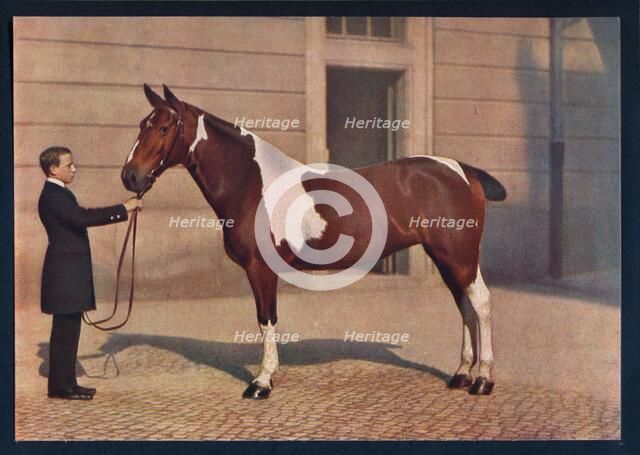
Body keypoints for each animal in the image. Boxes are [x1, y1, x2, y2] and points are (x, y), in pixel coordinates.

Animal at [121, 84, 507, 399]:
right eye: (141, 125)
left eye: (164, 128)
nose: (130, 176)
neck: (251, 183)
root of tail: (463, 170)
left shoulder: (261, 269)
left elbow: (266, 319)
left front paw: (262, 382)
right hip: (445, 258)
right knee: (465, 306)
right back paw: (461, 374)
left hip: (459, 255)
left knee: (481, 303)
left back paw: (482, 380)